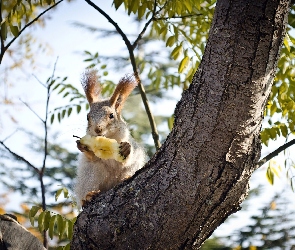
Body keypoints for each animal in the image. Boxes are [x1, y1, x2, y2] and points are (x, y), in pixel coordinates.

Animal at [74, 69, 146, 208]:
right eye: (87, 117)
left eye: (111, 115)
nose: (98, 129)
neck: (109, 138)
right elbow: (92, 157)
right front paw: (81, 146)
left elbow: (127, 158)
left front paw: (126, 148)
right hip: (91, 174)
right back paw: (88, 196)